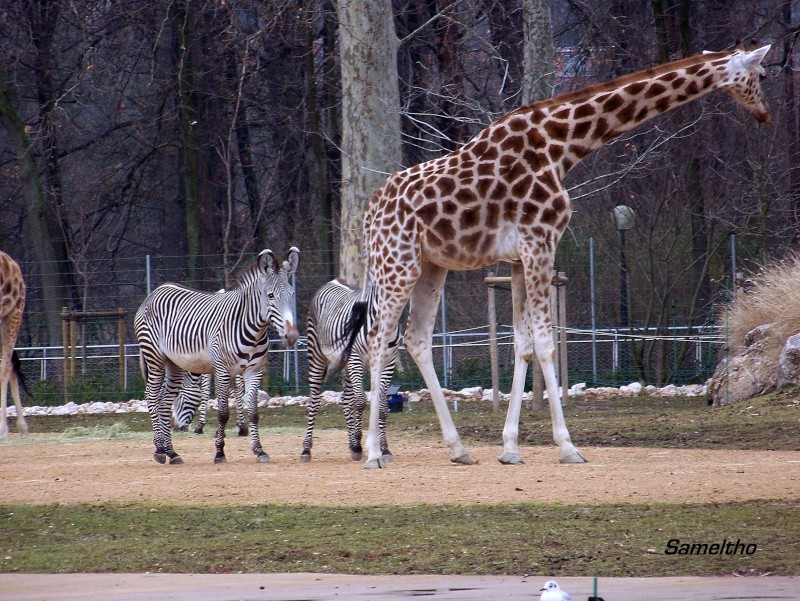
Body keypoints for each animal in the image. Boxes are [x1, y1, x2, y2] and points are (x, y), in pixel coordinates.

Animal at [134, 246, 300, 462]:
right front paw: (220, 452)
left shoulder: (254, 371)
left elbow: (254, 413)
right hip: (154, 357)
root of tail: (155, 292)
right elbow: (222, 413)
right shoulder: (221, 370)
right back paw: (160, 450)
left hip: (174, 363)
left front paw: (259, 450)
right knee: (152, 396)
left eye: (292, 294)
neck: (253, 329)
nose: (292, 335)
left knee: (164, 401)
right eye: (271, 296)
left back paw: (172, 452)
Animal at [300, 278, 400, 462]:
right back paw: (306, 449)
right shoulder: (356, 359)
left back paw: (352, 445)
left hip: (346, 364)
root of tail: (333, 280)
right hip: (317, 355)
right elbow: (360, 402)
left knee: (346, 399)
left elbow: (382, 407)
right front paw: (360, 443)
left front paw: (383, 449)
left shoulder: (387, 363)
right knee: (314, 401)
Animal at [354, 45, 772, 468]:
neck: (563, 146)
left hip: (431, 266)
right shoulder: (540, 242)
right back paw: (373, 452)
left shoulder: (518, 259)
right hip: (397, 264)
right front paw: (568, 445)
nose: (765, 114)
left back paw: (458, 449)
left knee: (416, 338)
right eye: (763, 74)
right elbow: (545, 343)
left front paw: (510, 448)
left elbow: (522, 345)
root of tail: (369, 214)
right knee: (378, 339)